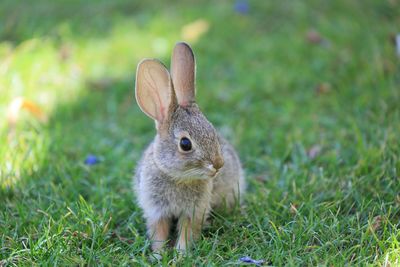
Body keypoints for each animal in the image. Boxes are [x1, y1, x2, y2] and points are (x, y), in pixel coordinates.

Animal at [134, 42, 244, 253]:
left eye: (213, 131)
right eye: (185, 144)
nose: (218, 164)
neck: (177, 177)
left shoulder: (195, 211)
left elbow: (187, 233)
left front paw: (181, 254)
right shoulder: (156, 210)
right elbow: (159, 233)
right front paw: (159, 255)